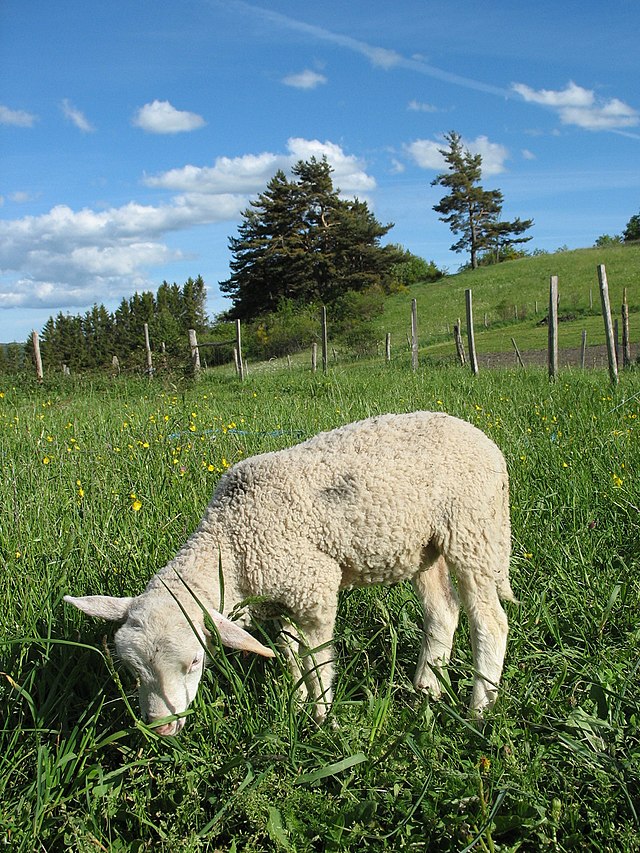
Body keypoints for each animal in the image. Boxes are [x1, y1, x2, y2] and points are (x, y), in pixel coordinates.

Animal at [65, 412, 516, 732]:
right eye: (131, 670)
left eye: (195, 662)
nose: (161, 729)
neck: (232, 538)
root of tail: (482, 439)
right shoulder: (279, 598)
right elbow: (289, 653)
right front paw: (296, 703)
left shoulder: (313, 588)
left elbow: (317, 659)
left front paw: (323, 718)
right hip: (425, 546)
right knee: (442, 611)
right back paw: (426, 688)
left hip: (473, 528)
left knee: (490, 620)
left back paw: (480, 709)